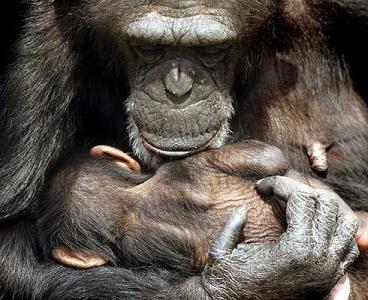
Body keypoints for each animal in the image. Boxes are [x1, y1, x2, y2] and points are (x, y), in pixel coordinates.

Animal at [0, 0, 366, 298]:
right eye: (148, 47)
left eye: (212, 49)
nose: (178, 90)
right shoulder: (46, 33)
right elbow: (12, 239)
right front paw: (273, 272)